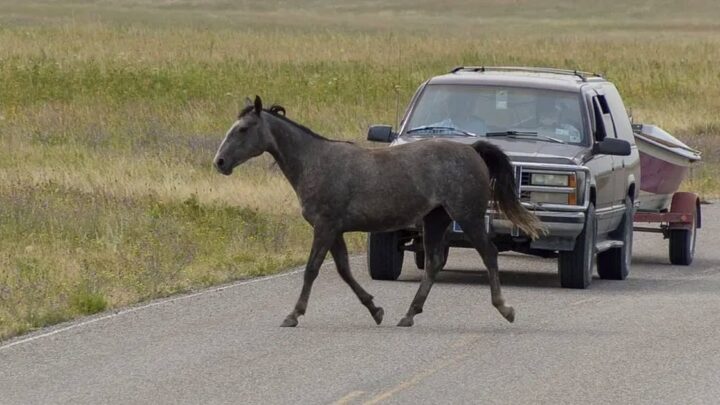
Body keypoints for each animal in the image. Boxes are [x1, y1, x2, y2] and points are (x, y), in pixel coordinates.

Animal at [213, 96, 543, 327]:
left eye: (243, 129)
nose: (219, 162)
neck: (315, 162)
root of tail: (472, 149)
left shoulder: (324, 227)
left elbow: (312, 269)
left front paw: (293, 314)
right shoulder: (335, 231)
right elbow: (344, 270)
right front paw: (376, 310)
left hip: (468, 217)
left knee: (488, 254)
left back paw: (505, 308)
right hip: (436, 219)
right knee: (434, 262)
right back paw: (408, 314)